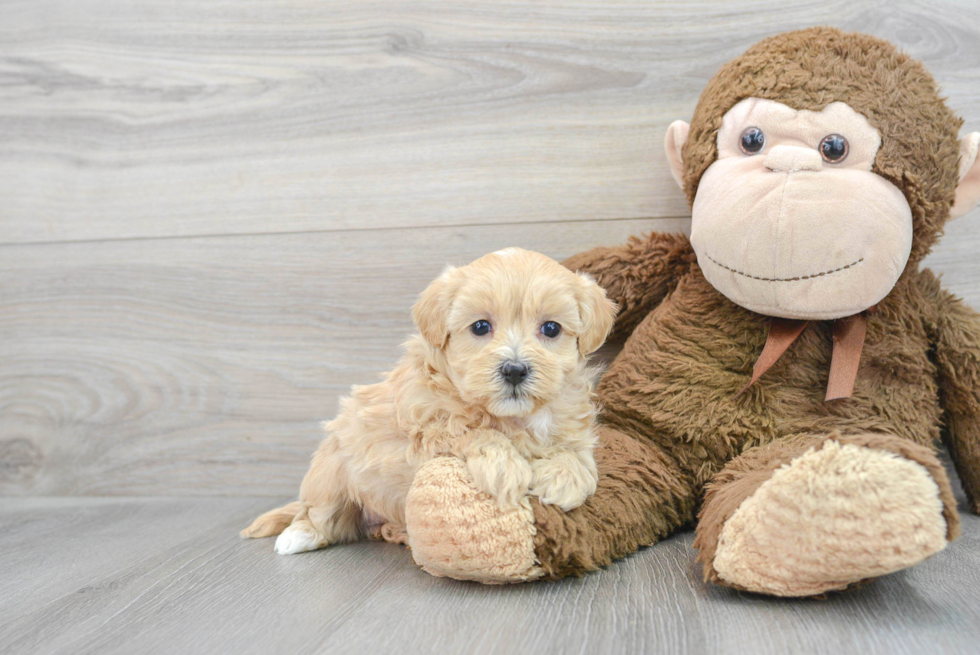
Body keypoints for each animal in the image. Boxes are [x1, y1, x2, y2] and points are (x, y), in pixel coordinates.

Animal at [241, 249, 616, 556]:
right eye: (481, 326)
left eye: (551, 328)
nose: (514, 369)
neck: (511, 416)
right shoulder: (423, 431)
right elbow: (471, 432)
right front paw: (506, 468)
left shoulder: (572, 423)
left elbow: (578, 454)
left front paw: (565, 478)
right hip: (331, 471)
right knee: (320, 513)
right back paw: (299, 535)